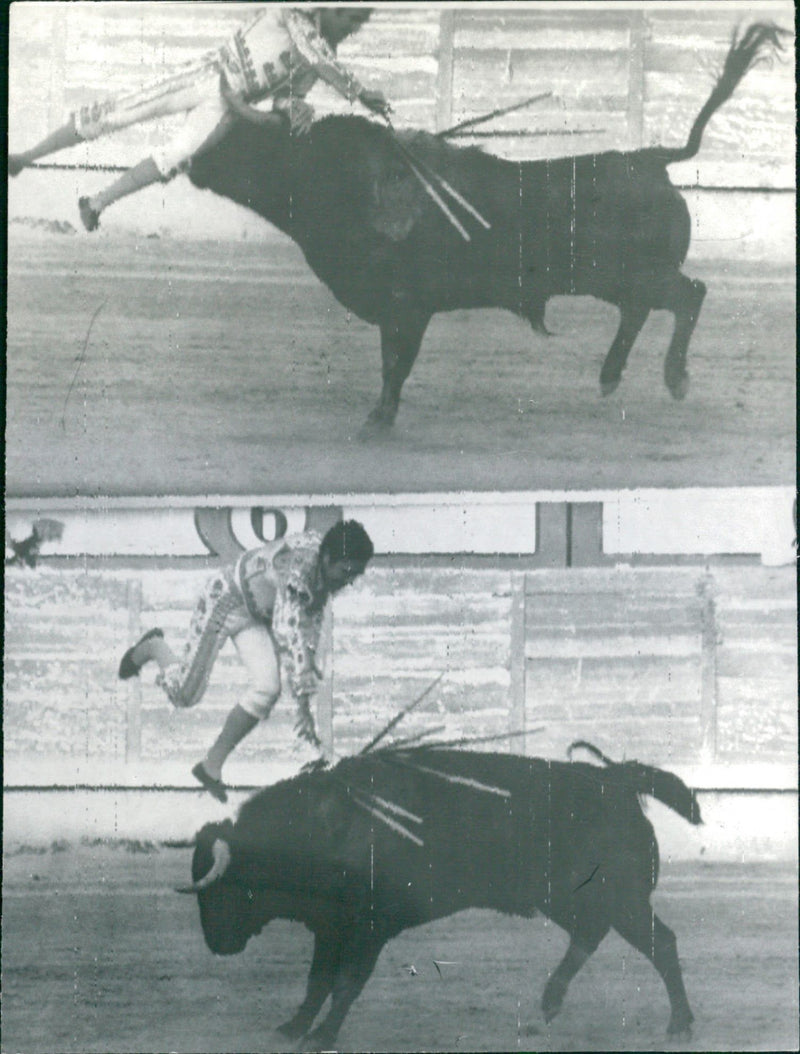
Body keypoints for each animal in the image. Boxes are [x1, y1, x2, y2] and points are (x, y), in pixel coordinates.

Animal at [180, 742, 699, 1054]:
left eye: (223, 890)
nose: (215, 945)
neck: (325, 826)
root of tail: (617, 780)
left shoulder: (369, 928)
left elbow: (346, 982)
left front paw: (322, 1035)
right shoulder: (330, 928)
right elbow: (317, 981)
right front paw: (293, 1028)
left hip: (621, 900)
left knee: (662, 944)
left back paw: (679, 1024)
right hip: (571, 901)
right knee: (593, 935)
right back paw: (550, 1004)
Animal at [189, 22, 788, 438]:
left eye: (234, 139)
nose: (189, 165)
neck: (341, 176)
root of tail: (650, 158)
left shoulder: (406, 307)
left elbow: (394, 366)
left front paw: (375, 423)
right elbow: (392, 364)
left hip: (639, 272)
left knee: (690, 294)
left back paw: (673, 379)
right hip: (613, 278)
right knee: (642, 310)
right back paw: (610, 377)